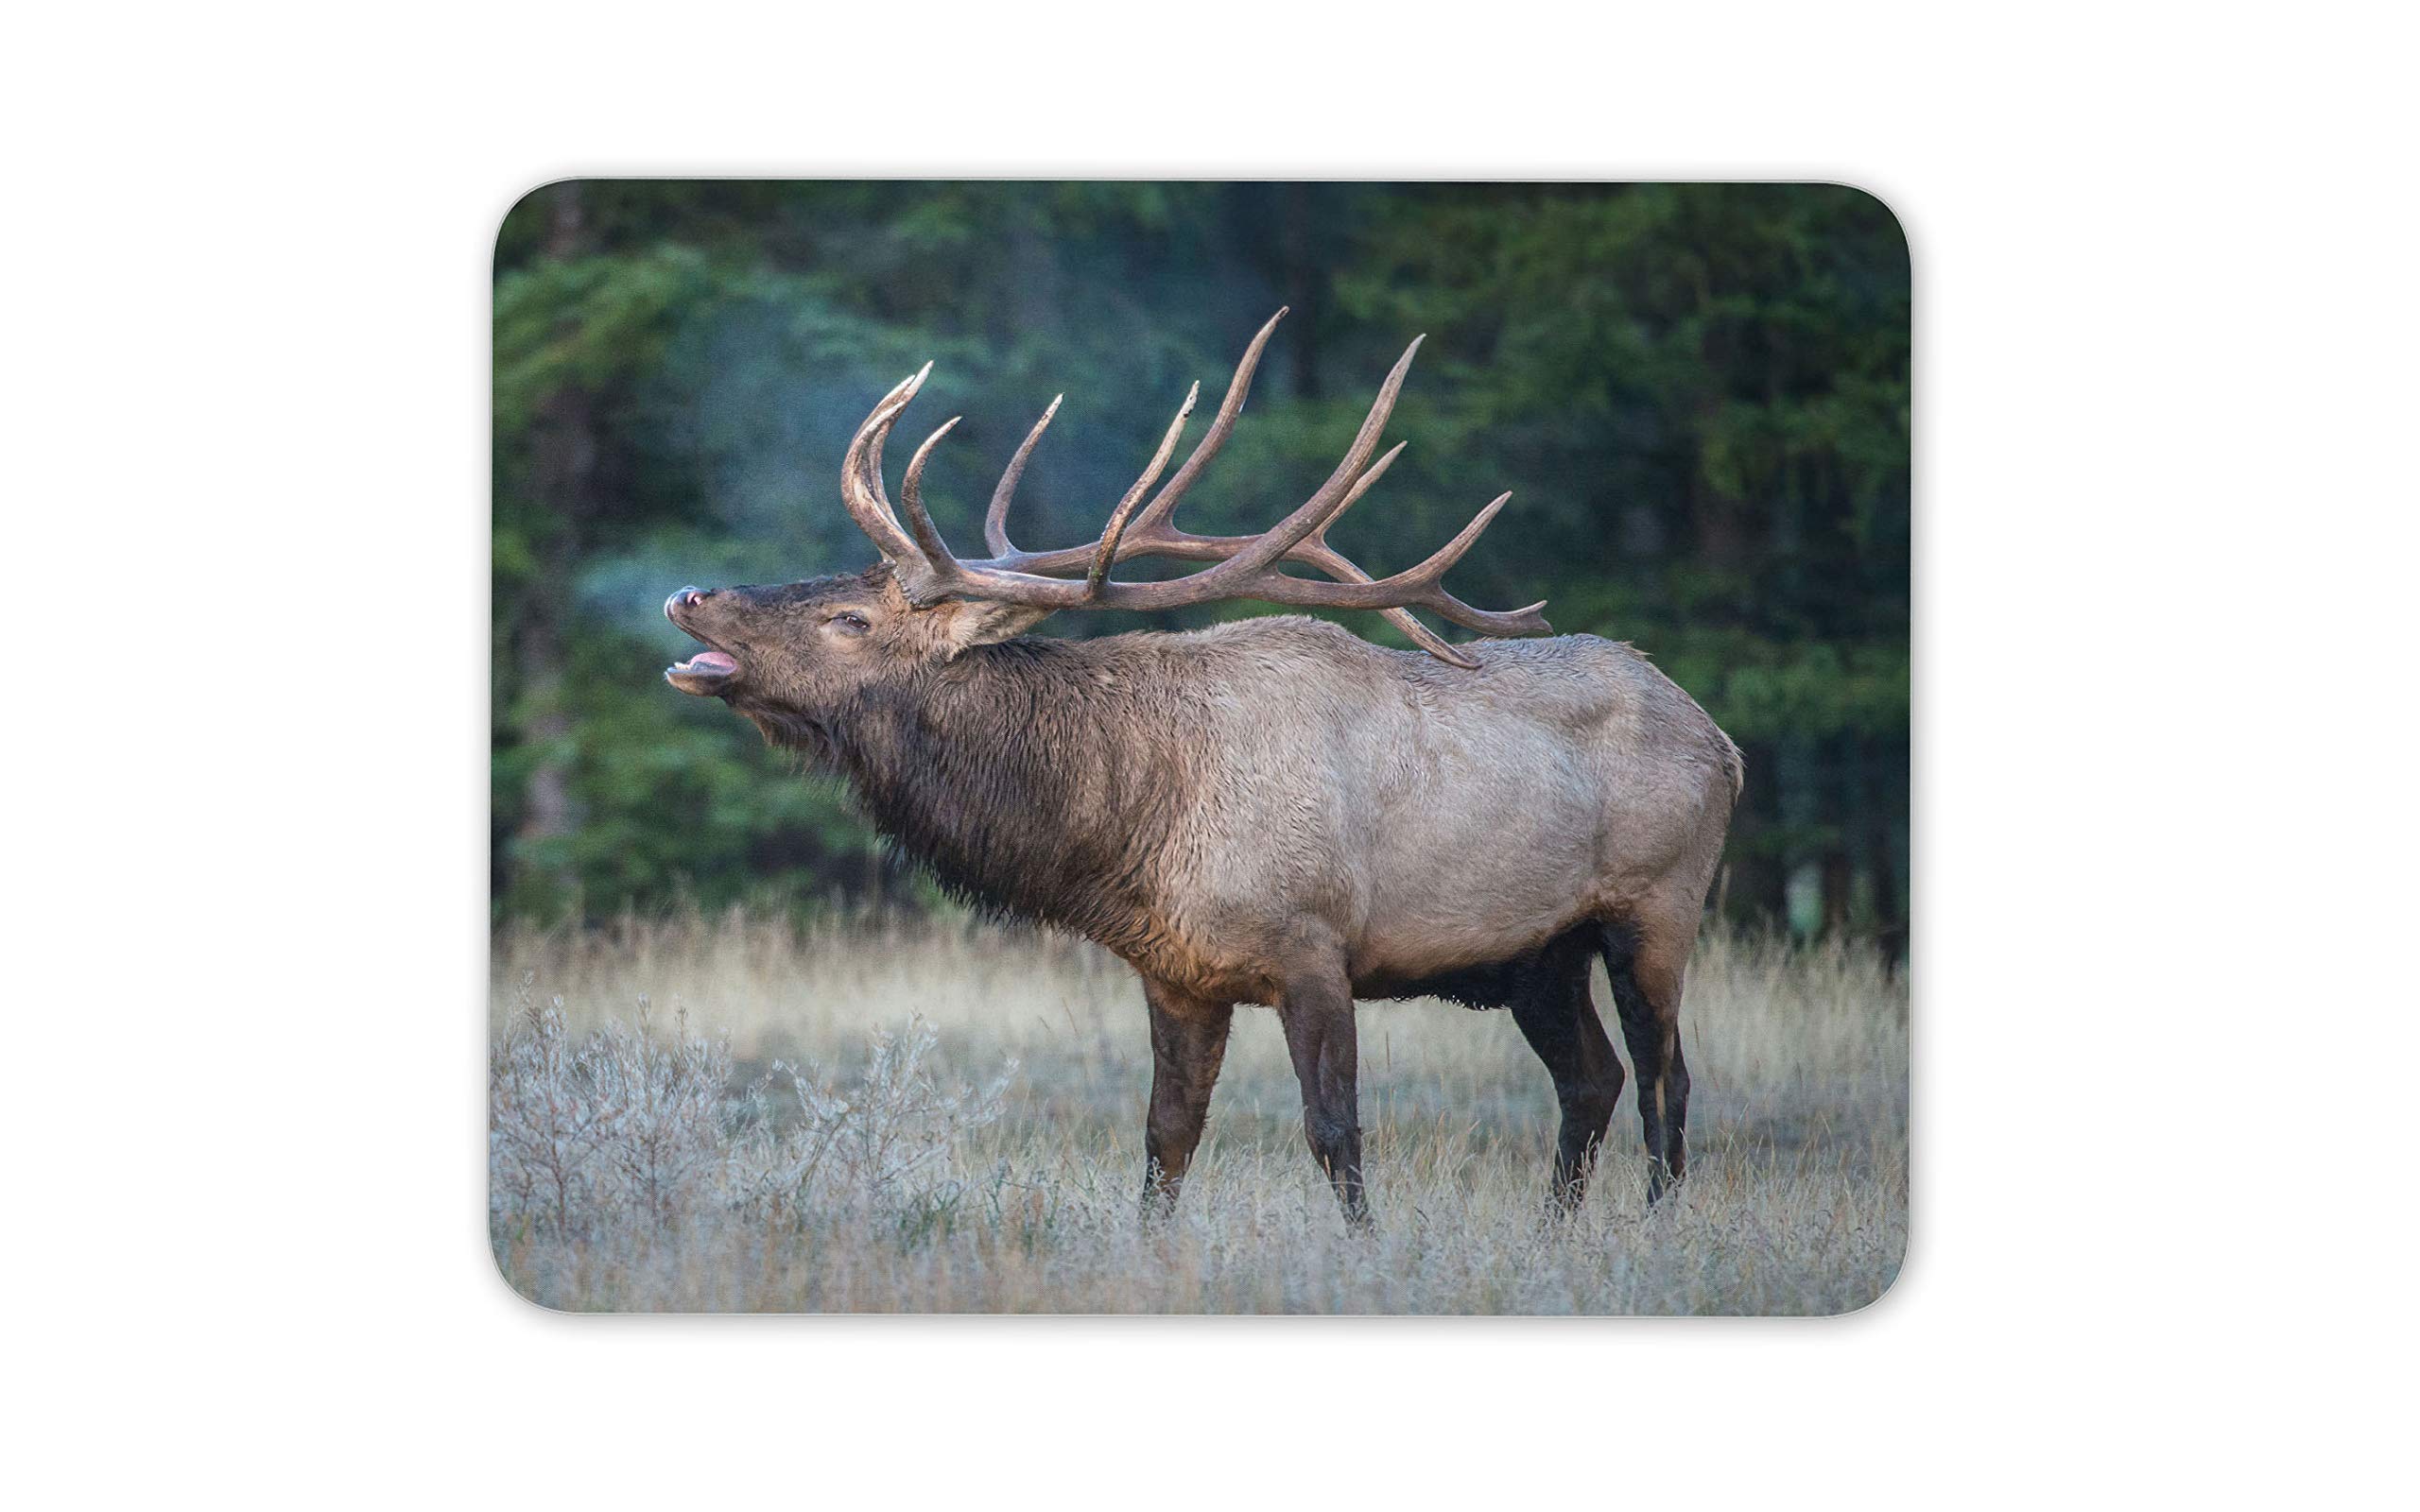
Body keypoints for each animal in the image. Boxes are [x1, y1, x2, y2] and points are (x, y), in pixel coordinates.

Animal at [662, 310, 1742, 1224]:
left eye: (848, 618)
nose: (687, 594)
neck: (1134, 822)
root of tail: (1722, 743)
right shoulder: (1177, 973)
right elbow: (1165, 1139)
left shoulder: (1313, 944)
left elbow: (1334, 1131)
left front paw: (1365, 1250)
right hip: (1538, 955)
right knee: (1591, 1080)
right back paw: (1555, 1234)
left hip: (1657, 906)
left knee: (1665, 1080)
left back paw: (1653, 1229)